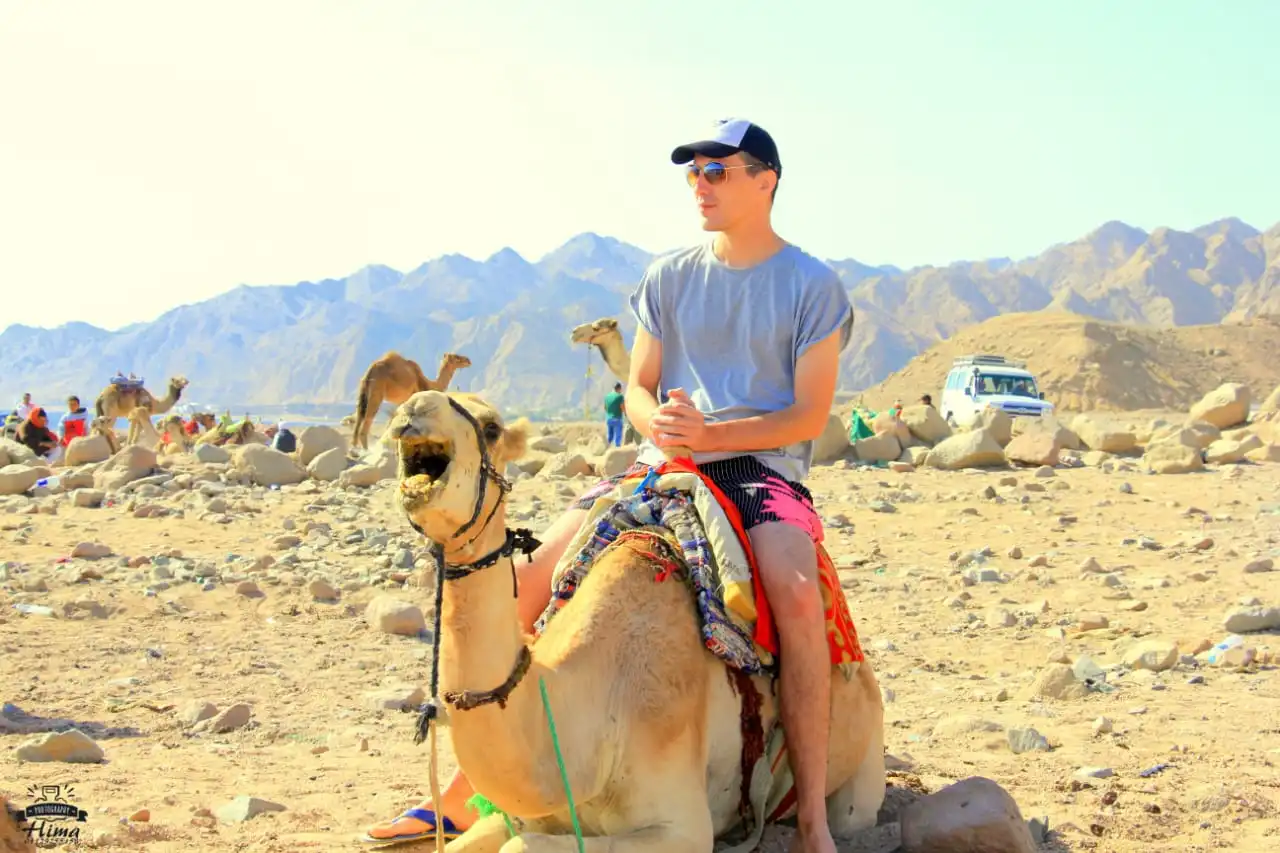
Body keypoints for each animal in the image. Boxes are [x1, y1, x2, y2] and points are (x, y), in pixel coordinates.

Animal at [386, 389, 885, 852]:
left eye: (491, 427)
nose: (414, 407)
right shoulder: (523, 814)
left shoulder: (681, 827)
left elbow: (519, 845)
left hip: (859, 778)